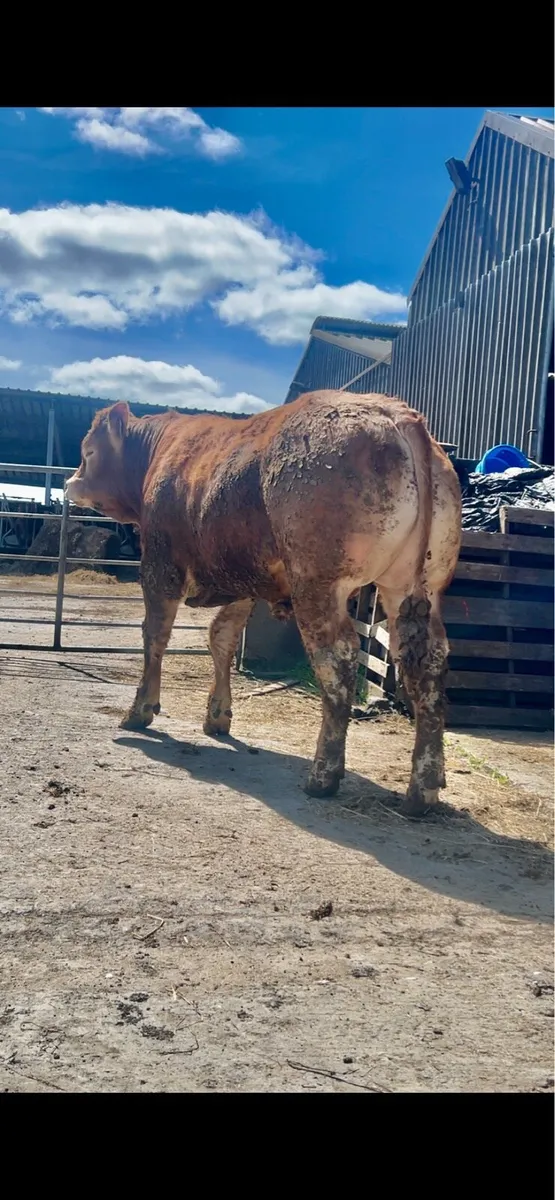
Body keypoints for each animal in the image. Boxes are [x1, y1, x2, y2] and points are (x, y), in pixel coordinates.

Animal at [65, 390, 461, 816]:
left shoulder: (160, 564)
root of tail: (395, 414)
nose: (69, 482)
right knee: (427, 663)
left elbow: (154, 635)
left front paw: (140, 711)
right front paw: (218, 716)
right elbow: (220, 636)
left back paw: (324, 775)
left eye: (88, 452)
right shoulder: (243, 582)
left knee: (337, 660)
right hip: (415, 585)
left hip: (319, 583)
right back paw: (423, 788)